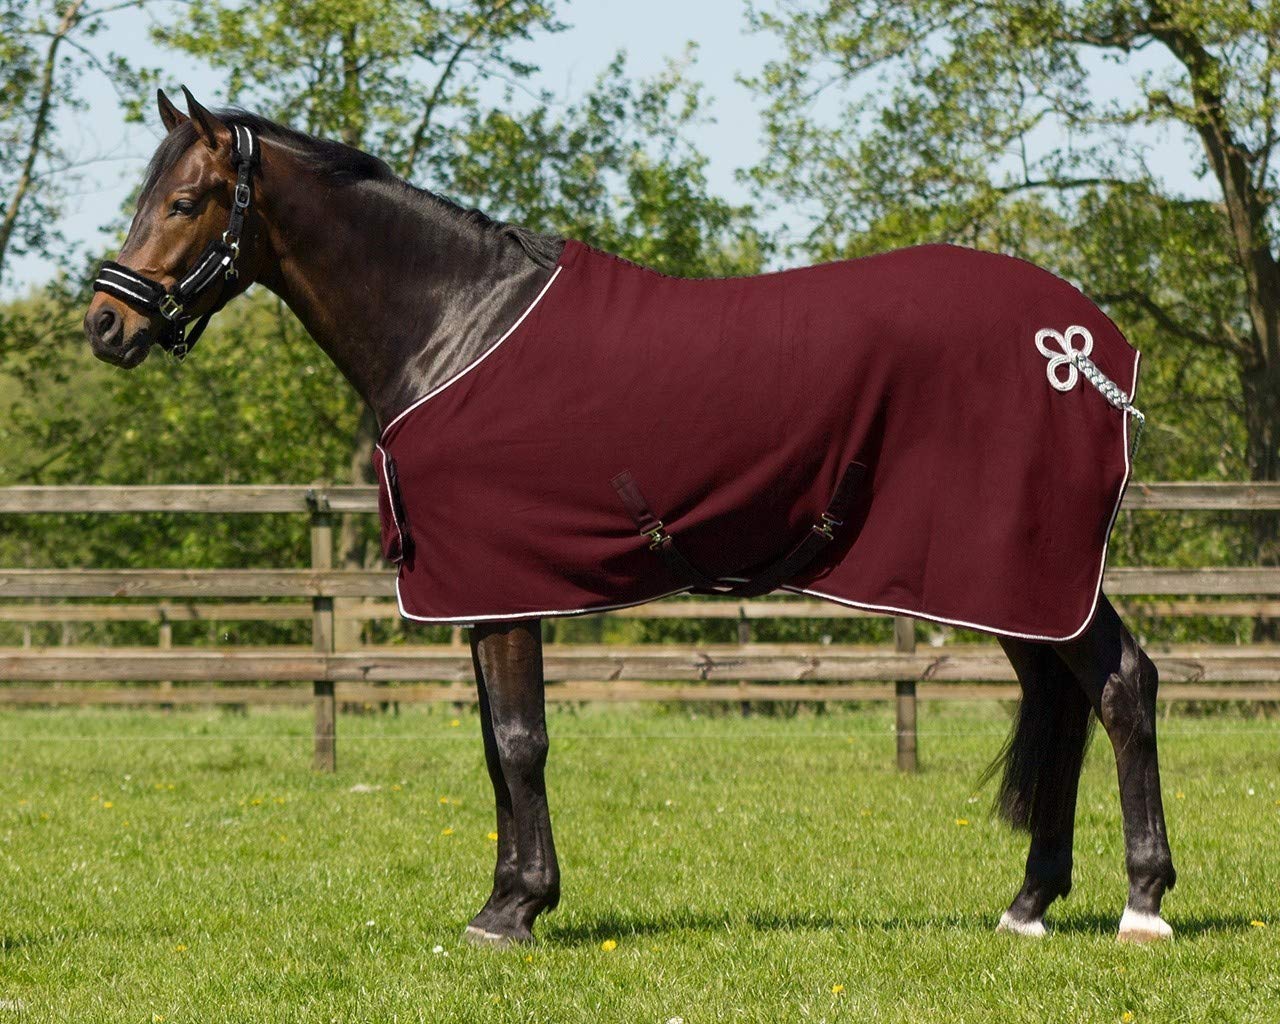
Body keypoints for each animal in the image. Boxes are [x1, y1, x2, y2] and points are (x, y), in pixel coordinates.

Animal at [83, 88, 1176, 947]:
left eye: (184, 200)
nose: (106, 323)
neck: (455, 322)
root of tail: (1085, 348)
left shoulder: (502, 585)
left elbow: (520, 739)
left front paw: (514, 911)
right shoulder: (476, 595)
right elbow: (494, 750)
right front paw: (506, 898)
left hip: (1028, 566)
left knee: (1121, 684)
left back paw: (1143, 903)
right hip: (1010, 578)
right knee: (1062, 694)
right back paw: (1028, 903)